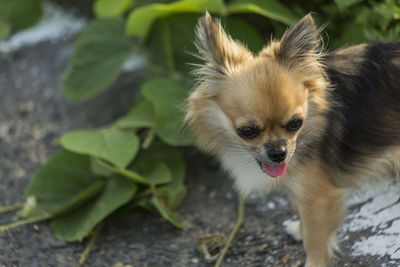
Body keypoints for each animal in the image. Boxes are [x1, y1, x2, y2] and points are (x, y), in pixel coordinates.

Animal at [184, 12, 400, 267]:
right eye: (247, 131)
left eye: (296, 123)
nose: (279, 153)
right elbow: (299, 209)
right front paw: (300, 227)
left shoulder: (318, 195)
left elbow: (314, 240)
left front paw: (314, 260)